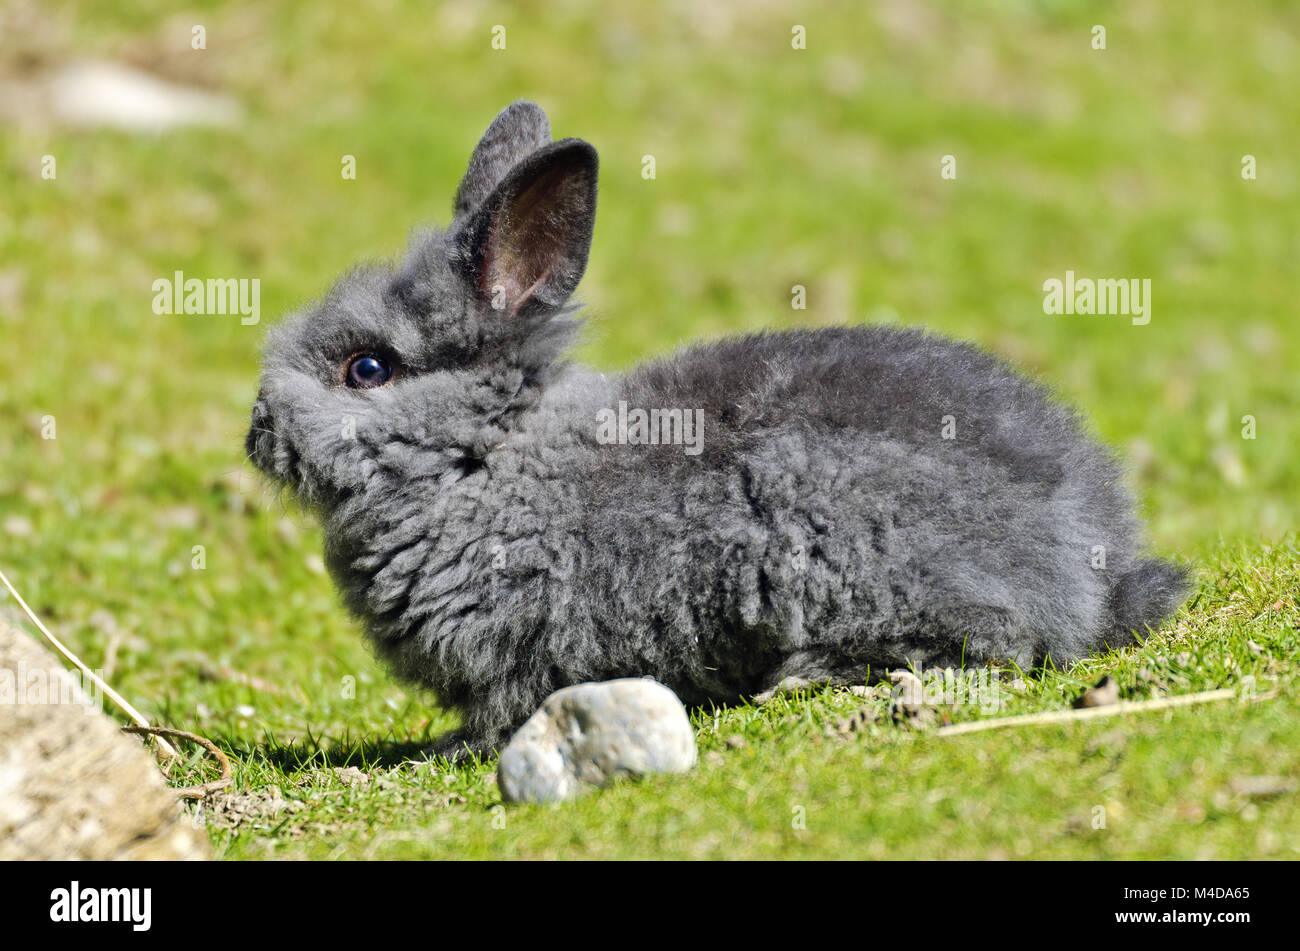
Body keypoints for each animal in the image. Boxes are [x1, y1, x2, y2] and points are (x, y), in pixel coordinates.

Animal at [246, 101, 1189, 755]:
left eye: (367, 369)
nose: (255, 433)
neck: (488, 458)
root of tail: (1093, 563)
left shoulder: (519, 652)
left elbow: (504, 708)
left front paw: (447, 748)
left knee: (998, 638)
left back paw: (808, 675)